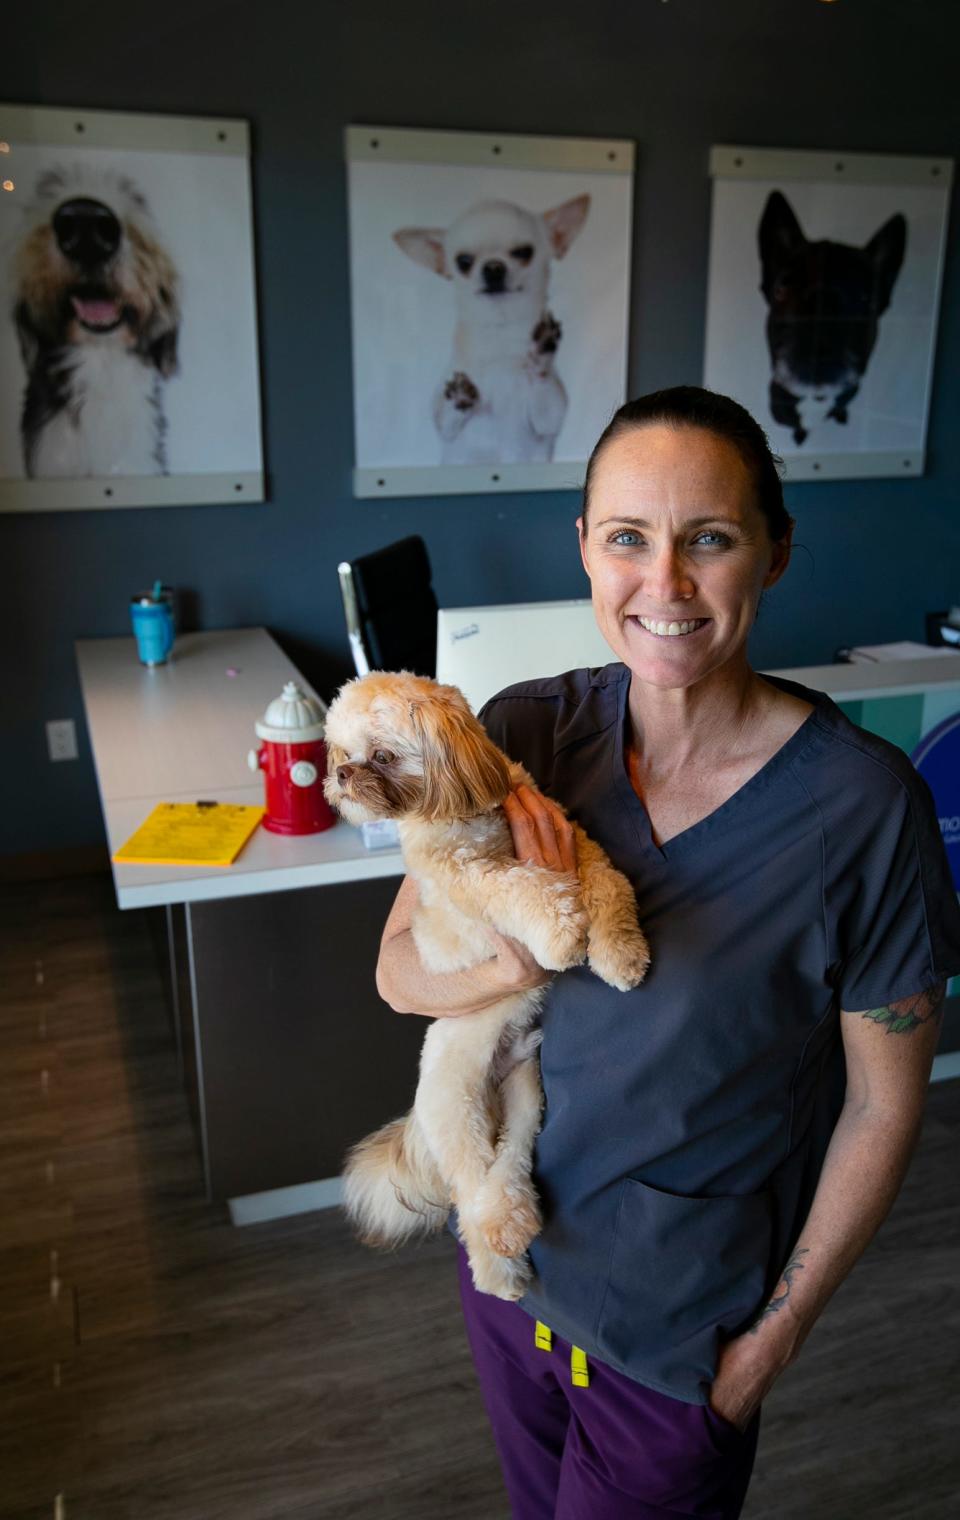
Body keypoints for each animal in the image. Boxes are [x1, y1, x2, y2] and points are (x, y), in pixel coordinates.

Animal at [325, 671, 653, 1301]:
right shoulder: (474, 879)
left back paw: (514, 1221)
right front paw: (561, 935)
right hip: (456, 1104)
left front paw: (619, 952)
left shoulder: (573, 841)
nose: (343, 776)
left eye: (381, 756)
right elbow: (526, 887)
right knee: (471, 1194)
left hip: (527, 1092)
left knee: (511, 1162)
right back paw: (499, 1262)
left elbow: (608, 886)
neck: (468, 811)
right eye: (342, 754)